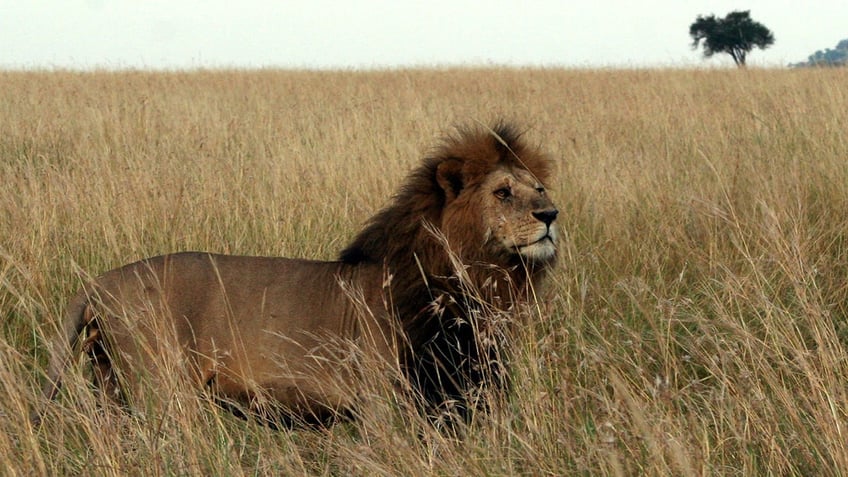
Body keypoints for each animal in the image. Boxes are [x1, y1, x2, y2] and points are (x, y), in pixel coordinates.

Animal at [33, 122, 560, 424]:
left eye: (539, 188)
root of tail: (99, 282)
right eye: (503, 193)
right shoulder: (383, 401)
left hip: (110, 384)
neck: (473, 282)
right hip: (159, 388)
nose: (551, 215)